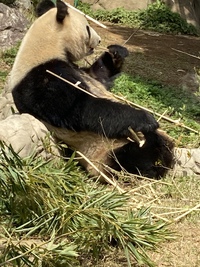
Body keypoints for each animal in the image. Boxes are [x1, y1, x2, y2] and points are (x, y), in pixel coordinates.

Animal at [10, 0, 173, 181]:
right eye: (88, 28)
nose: (100, 40)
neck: (46, 47)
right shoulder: (41, 79)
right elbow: (81, 109)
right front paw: (146, 118)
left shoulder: (82, 72)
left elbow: (99, 75)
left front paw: (116, 53)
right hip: (105, 152)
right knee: (133, 158)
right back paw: (153, 159)